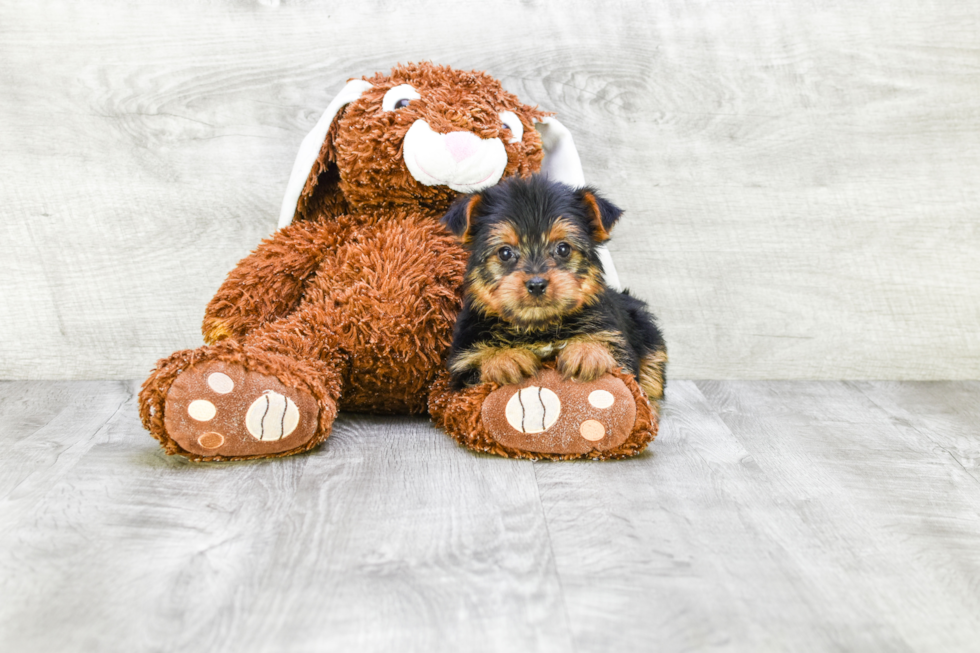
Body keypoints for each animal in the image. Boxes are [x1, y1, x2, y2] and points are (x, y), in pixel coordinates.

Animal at [442, 173, 668, 400]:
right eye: (505, 253)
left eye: (563, 249)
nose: (536, 284)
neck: (539, 327)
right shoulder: (463, 363)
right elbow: (476, 365)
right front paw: (504, 358)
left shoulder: (617, 341)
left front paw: (586, 351)